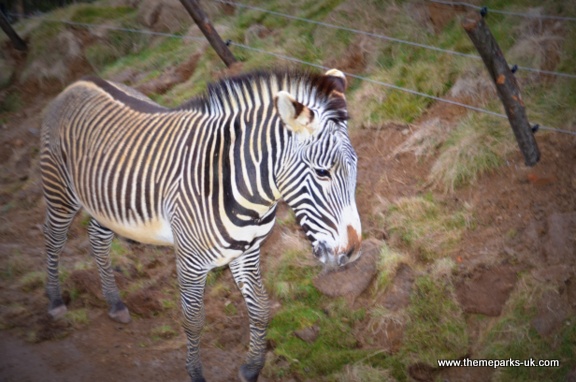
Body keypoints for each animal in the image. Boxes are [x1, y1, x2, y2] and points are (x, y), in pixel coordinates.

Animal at [41, 68, 360, 382]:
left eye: (355, 166)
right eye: (322, 172)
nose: (353, 252)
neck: (241, 186)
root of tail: (79, 82)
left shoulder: (247, 252)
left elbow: (259, 306)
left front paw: (251, 368)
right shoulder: (190, 261)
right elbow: (193, 320)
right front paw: (196, 374)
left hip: (106, 203)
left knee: (97, 238)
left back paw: (114, 303)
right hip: (60, 191)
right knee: (52, 239)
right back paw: (55, 302)